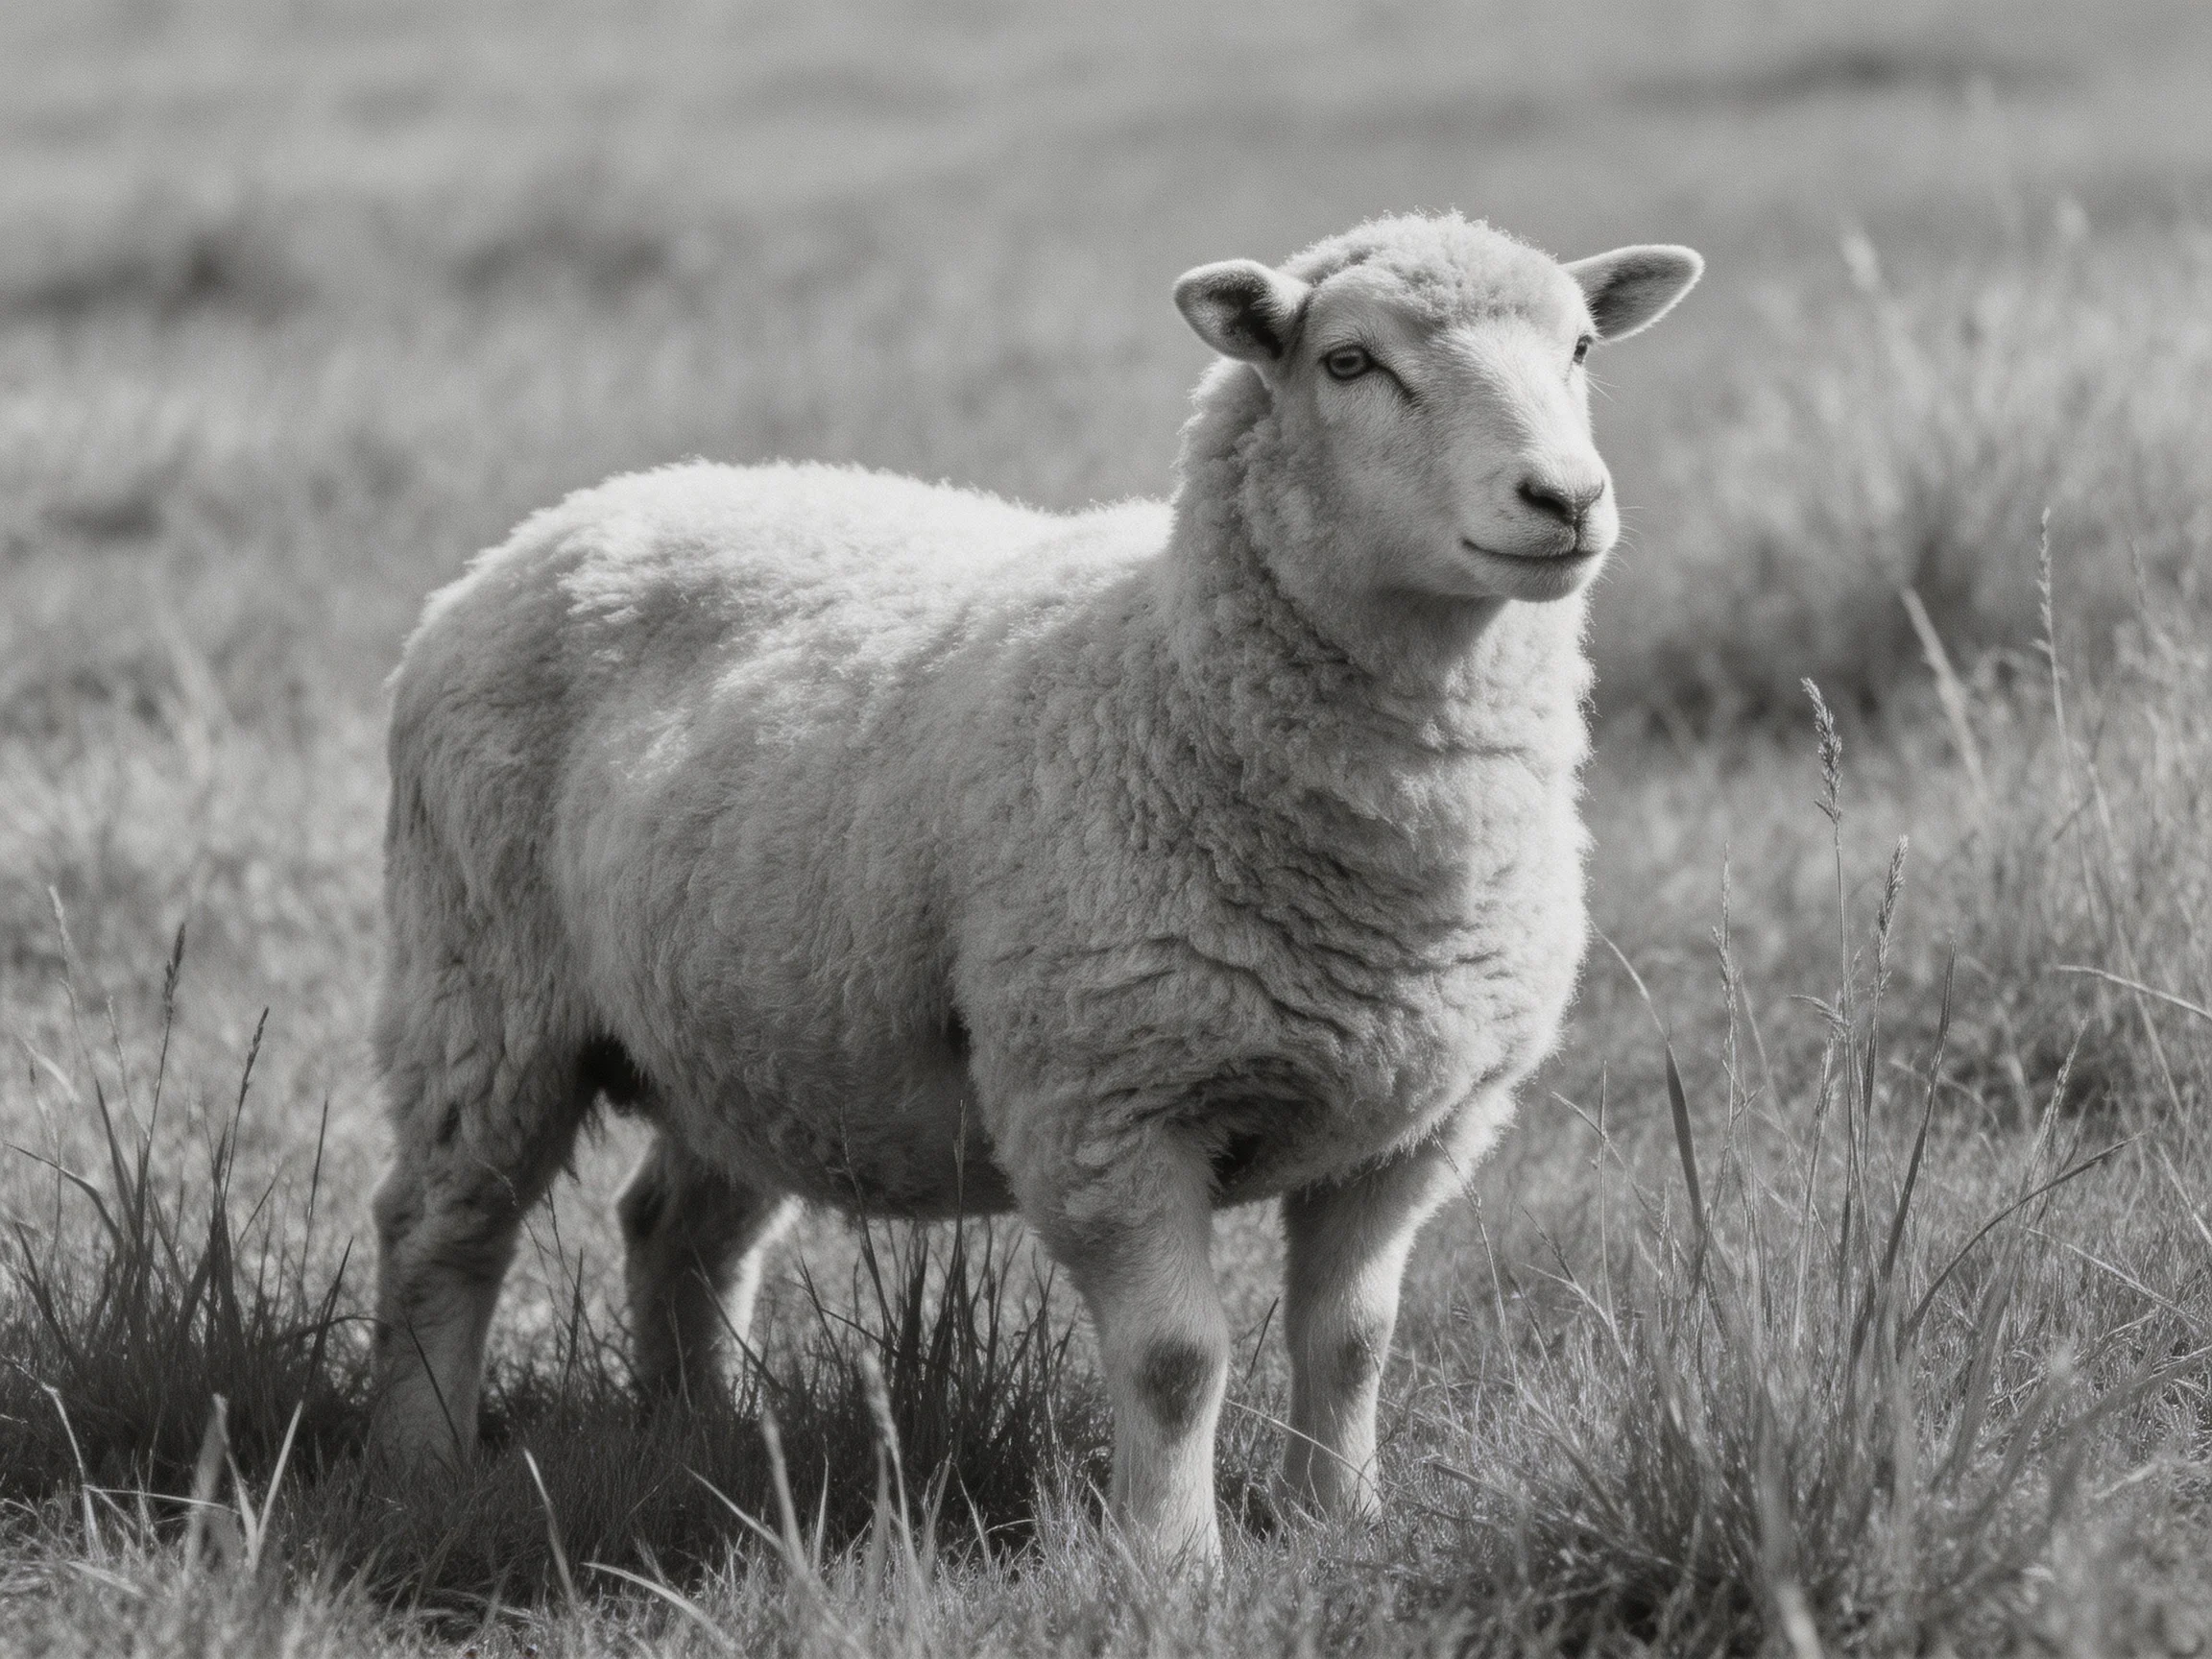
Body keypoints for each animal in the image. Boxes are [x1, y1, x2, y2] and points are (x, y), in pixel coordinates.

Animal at [365, 211, 1702, 1565]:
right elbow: (1175, 1361)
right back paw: (424, 1464)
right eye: (1349, 362)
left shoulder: (1415, 1125)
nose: (1565, 499)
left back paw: (711, 1436)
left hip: (745, 1028)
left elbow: (1355, 1340)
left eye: (1582, 348)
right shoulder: (1106, 1103)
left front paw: (1341, 1524)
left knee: (674, 1231)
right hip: (484, 990)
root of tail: (565, 519)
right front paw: (1175, 1564)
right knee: (439, 1222)